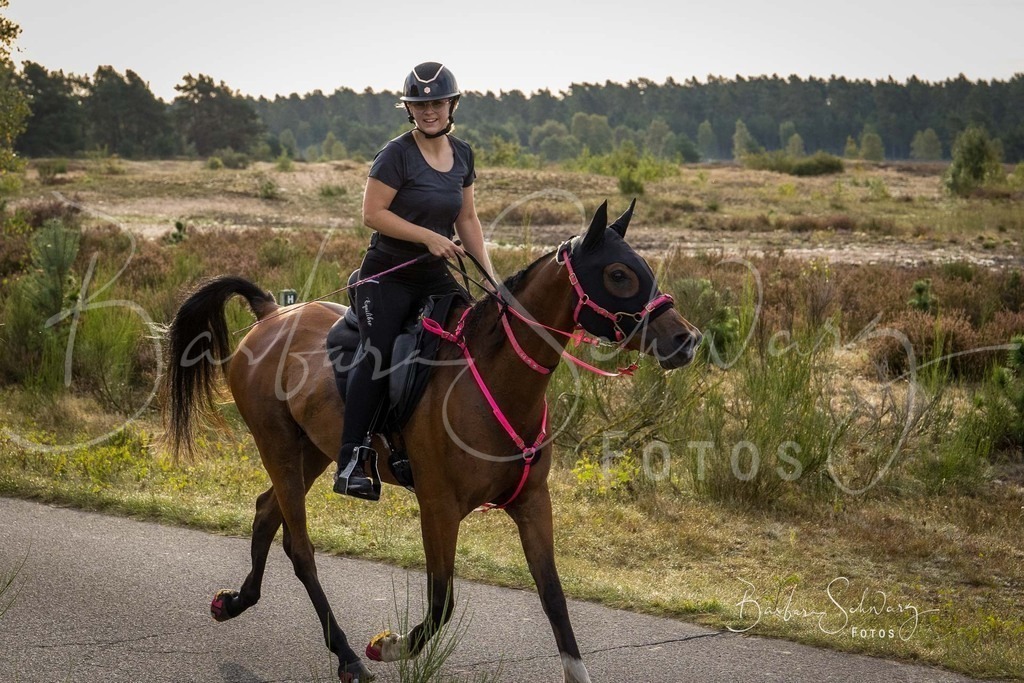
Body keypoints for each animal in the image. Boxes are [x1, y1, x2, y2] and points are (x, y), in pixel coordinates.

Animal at [163, 200, 702, 682]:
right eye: (618, 274)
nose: (687, 340)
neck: (491, 381)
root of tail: (272, 314)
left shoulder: (532, 502)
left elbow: (553, 595)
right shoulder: (439, 506)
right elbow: (441, 601)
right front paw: (388, 646)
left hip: (311, 451)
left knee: (264, 513)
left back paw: (235, 602)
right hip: (276, 445)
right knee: (300, 548)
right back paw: (348, 658)